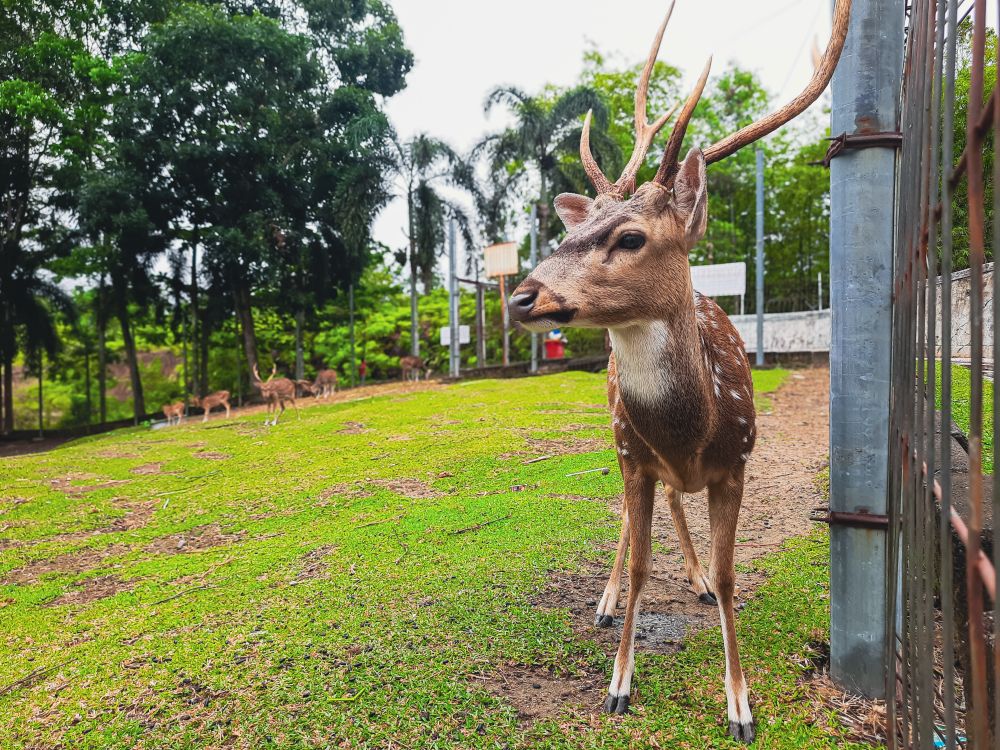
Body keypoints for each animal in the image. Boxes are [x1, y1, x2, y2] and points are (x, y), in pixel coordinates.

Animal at [506, 1, 851, 742]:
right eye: (572, 233)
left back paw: (690, 575)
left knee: (672, 503)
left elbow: (729, 577)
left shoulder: (738, 462)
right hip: (617, 438)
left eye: (631, 237)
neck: (695, 430)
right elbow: (639, 564)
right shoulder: (633, 454)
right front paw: (618, 682)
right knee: (632, 515)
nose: (521, 297)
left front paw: (741, 705)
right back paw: (606, 598)